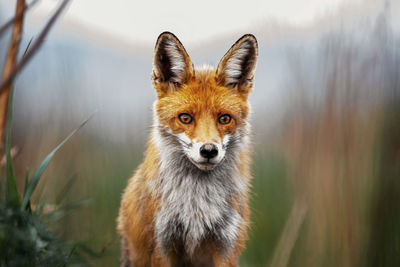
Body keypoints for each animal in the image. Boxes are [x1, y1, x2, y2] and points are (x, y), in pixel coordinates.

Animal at [117, 32, 258, 266]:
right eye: (185, 118)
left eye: (224, 119)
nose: (209, 151)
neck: (197, 204)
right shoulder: (162, 246)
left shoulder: (225, 247)